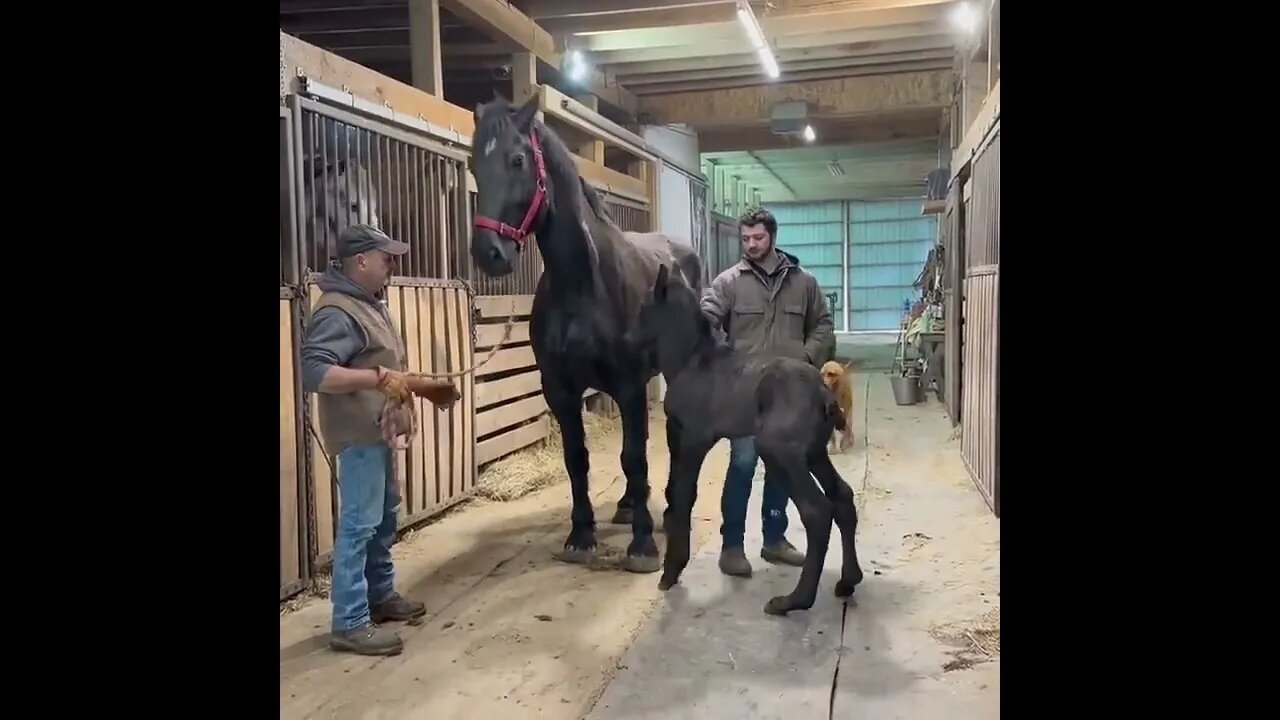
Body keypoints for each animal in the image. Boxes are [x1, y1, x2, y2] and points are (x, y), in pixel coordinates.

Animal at [468, 92, 701, 571]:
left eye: (517, 159)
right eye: (473, 163)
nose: (489, 253)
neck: (582, 283)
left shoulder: (629, 386)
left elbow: (634, 456)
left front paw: (642, 545)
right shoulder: (560, 389)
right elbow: (577, 457)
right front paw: (581, 535)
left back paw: (668, 507)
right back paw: (629, 504)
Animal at [634, 266, 865, 614]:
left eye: (644, 308)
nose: (627, 339)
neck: (692, 361)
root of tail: (824, 395)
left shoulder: (689, 440)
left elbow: (681, 496)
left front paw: (671, 571)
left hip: (779, 452)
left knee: (817, 511)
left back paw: (793, 601)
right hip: (813, 454)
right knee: (842, 497)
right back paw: (848, 581)